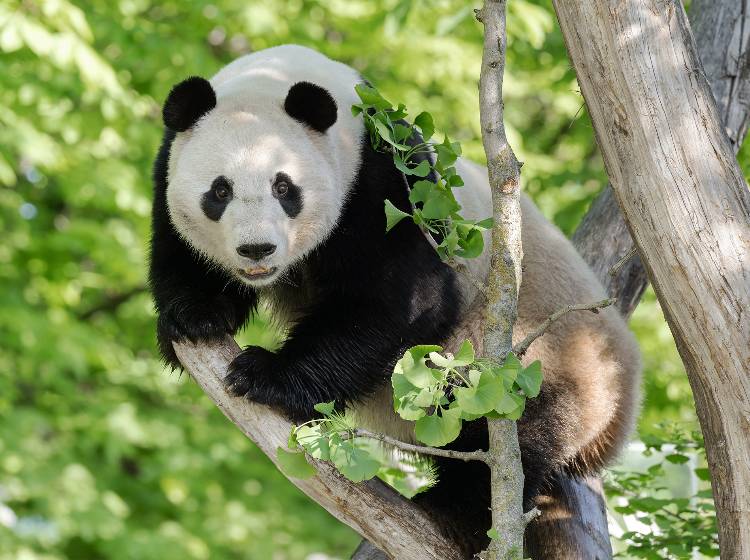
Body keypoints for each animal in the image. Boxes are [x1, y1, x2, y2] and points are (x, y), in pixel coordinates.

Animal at [150, 44, 641, 556]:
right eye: (220, 190)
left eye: (284, 188)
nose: (256, 250)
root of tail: (619, 415)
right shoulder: (169, 163)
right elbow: (182, 253)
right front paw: (194, 318)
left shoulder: (390, 181)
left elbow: (401, 301)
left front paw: (263, 374)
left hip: (539, 354)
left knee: (506, 432)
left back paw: (452, 511)